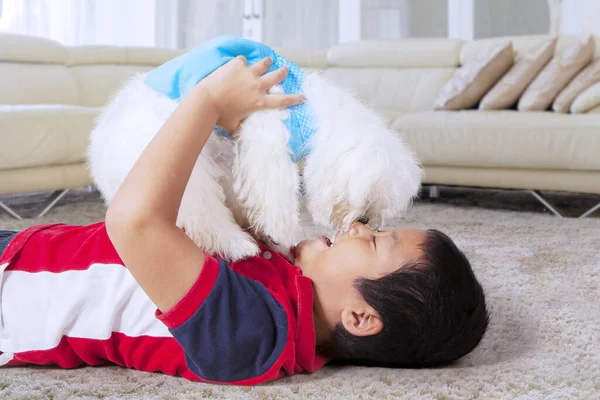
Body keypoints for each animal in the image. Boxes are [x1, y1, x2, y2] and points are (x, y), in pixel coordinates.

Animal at [88, 70, 422, 260]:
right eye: (370, 196)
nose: (368, 222)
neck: (311, 110)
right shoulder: (265, 128)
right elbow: (274, 188)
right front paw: (279, 230)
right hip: (180, 162)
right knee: (203, 215)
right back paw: (239, 246)